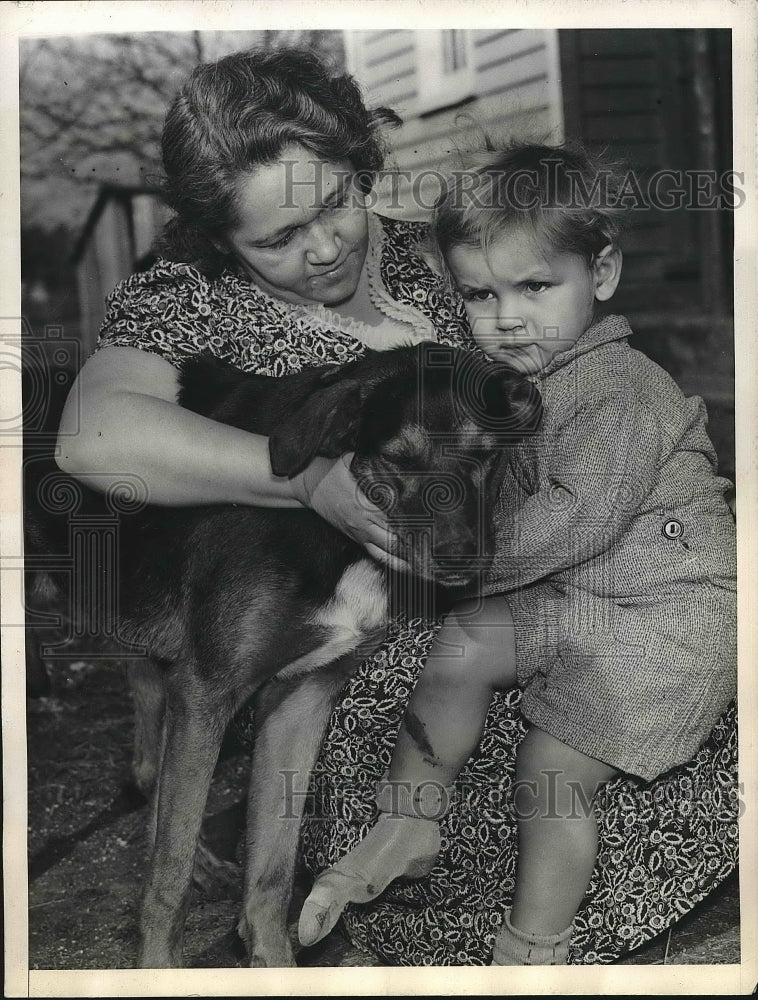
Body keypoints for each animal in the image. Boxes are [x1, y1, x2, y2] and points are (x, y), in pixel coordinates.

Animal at [34, 338, 540, 968]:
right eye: (398, 457)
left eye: (485, 456)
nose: (459, 559)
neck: (338, 541)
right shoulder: (207, 689)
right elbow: (168, 873)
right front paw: (158, 968)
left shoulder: (301, 698)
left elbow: (271, 872)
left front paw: (273, 962)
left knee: (150, 767)